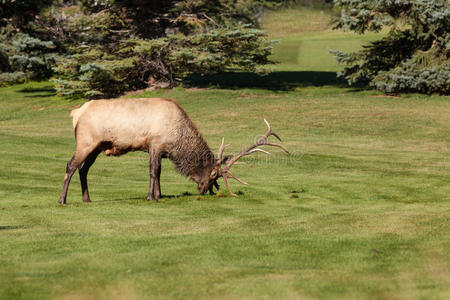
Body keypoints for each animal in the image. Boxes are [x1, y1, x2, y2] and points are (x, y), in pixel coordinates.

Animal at [58, 98, 288, 204]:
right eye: (214, 174)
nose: (203, 189)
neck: (178, 140)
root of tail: (76, 113)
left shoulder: (160, 150)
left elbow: (159, 172)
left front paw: (159, 195)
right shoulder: (155, 144)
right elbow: (153, 171)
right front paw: (150, 197)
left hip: (97, 147)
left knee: (83, 169)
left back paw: (87, 199)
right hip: (86, 141)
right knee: (70, 166)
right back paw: (62, 200)